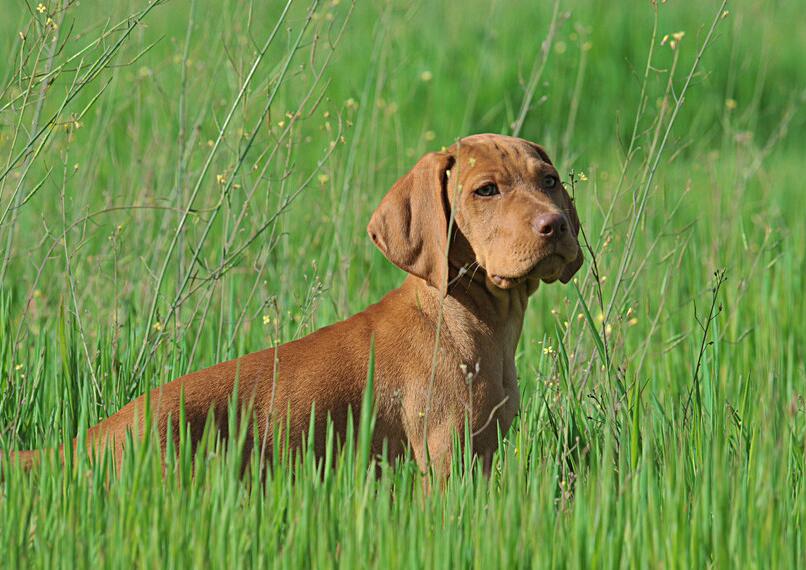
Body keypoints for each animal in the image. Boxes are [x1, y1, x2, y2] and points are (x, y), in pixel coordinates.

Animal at [9, 133, 582, 476]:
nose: (554, 225)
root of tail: (94, 437)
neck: (469, 319)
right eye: (486, 190)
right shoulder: (443, 458)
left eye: (549, 180)